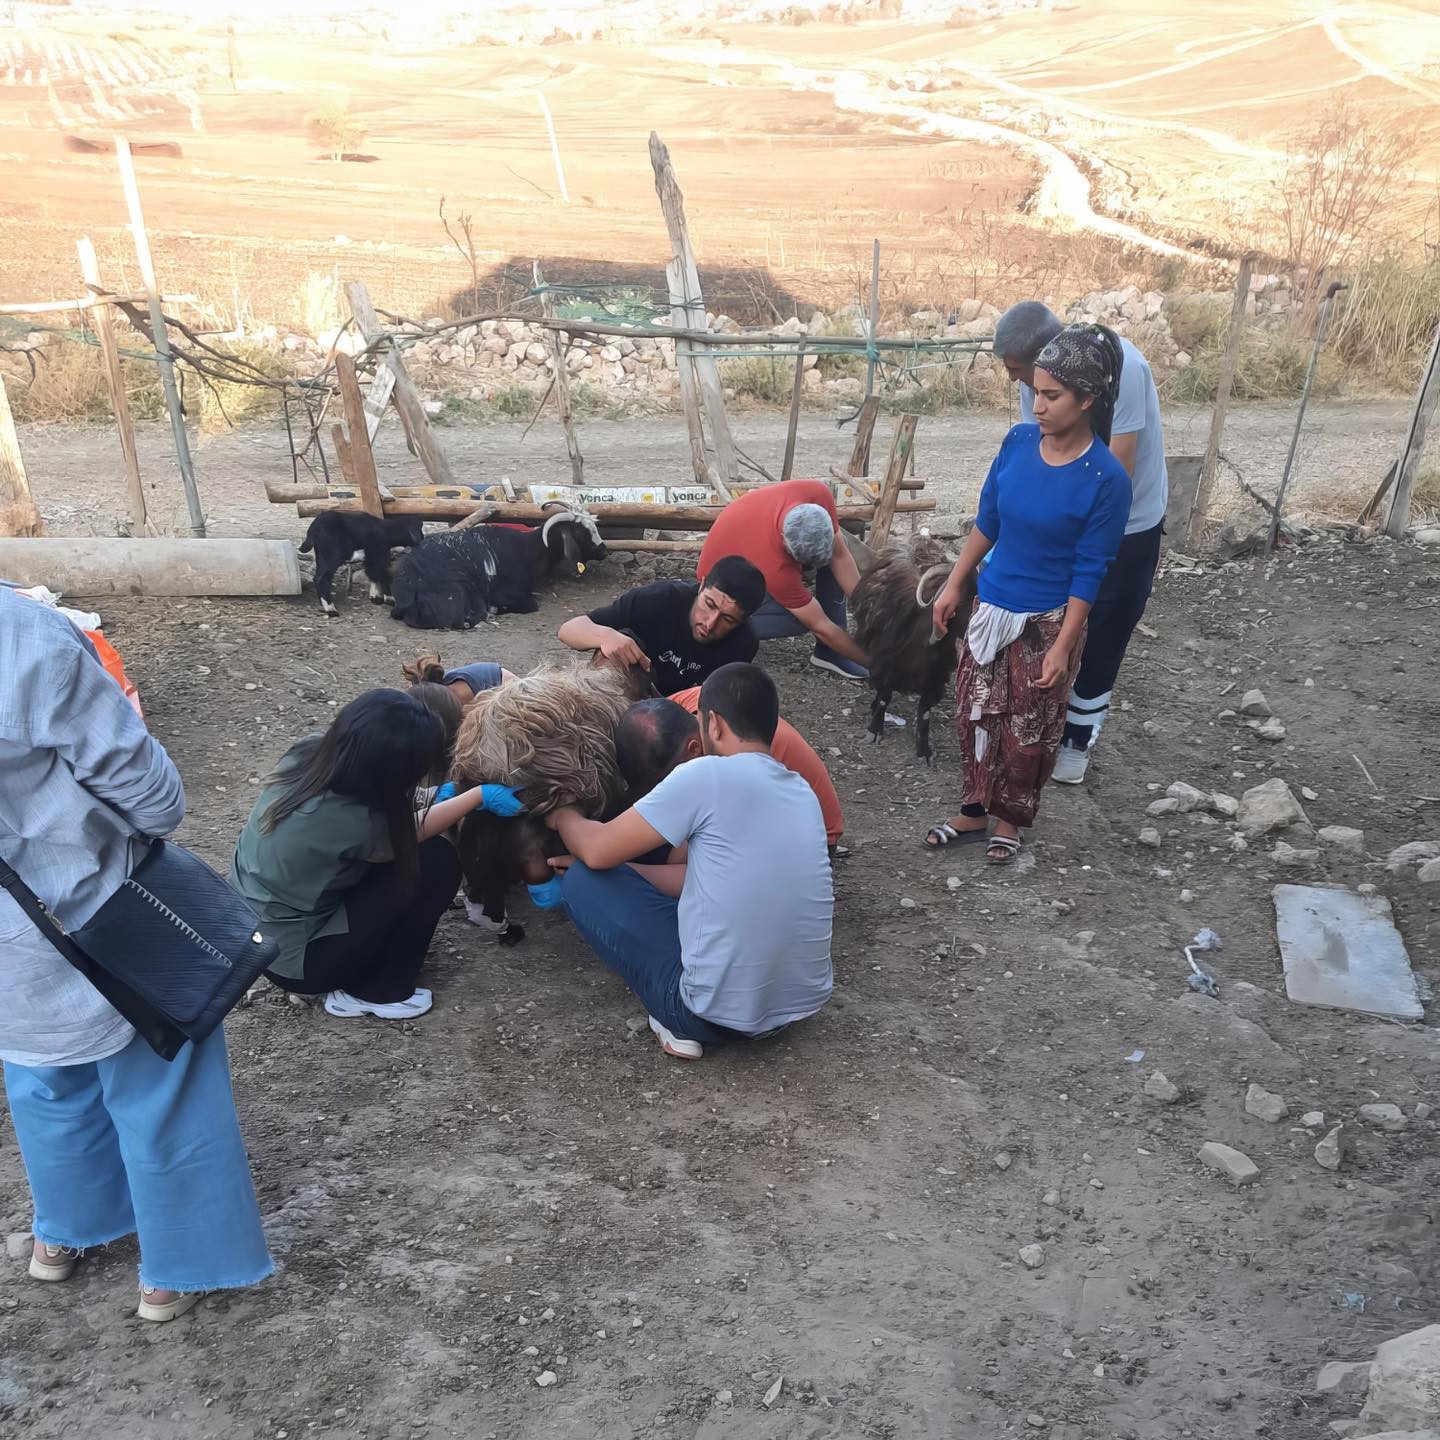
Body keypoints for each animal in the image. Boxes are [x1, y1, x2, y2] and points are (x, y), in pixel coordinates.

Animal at [388, 515, 607, 633]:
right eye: (581, 533)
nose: (604, 551)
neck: (527, 549)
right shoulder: (510, 592)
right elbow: (530, 605)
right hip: (461, 592)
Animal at [846, 529, 973, 771]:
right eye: (962, 601)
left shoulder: (935, 677)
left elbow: (924, 714)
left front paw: (924, 752)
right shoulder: (885, 664)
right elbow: (884, 697)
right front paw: (874, 731)